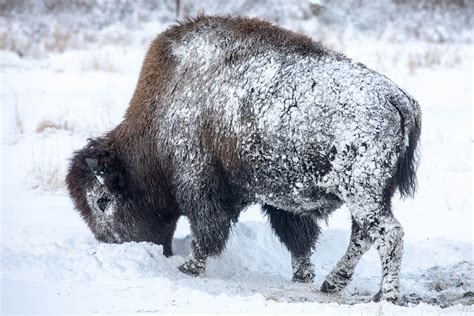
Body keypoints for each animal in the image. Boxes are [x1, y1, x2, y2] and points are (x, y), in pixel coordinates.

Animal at [65, 15, 420, 304]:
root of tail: (396, 97)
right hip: (370, 197)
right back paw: (333, 283)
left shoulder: (199, 186)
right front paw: (302, 276)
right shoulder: (282, 202)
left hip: (363, 194)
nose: (113, 246)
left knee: (389, 234)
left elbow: (207, 231)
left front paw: (189, 267)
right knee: (363, 234)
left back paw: (386, 296)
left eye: (102, 201)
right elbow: (297, 238)